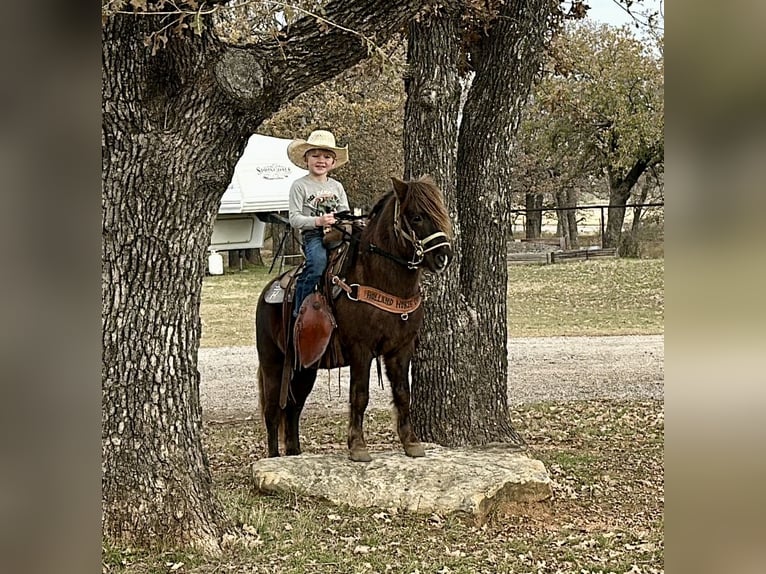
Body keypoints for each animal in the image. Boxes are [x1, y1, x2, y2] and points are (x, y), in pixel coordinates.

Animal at [255, 176, 452, 464]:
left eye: (442, 212)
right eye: (416, 217)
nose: (443, 257)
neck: (380, 279)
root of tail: (268, 291)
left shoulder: (401, 349)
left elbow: (403, 393)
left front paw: (411, 443)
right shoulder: (361, 349)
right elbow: (359, 395)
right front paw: (358, 446)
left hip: (305, 368)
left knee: (293, 409)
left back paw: (294, 454)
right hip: (273, 363)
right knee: (272, 412)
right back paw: (273, 459)